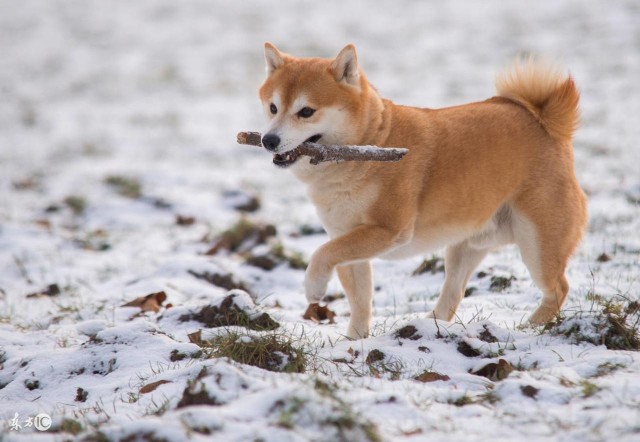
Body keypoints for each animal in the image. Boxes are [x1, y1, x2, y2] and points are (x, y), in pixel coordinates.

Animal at [258, 43, 588, 338]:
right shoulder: (346, 238)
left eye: (306, 111)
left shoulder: (388, 230)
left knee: (558, 289)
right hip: (466, 246)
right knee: (453, 294)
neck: (367, 146)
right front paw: (354, 341)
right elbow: (360, 300)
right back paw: (430, 326)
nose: (268, 140)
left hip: (537, 244)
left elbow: (321, 254)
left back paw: (529, 328)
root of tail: (546, 123)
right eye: (273, 108)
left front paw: (314, 285)